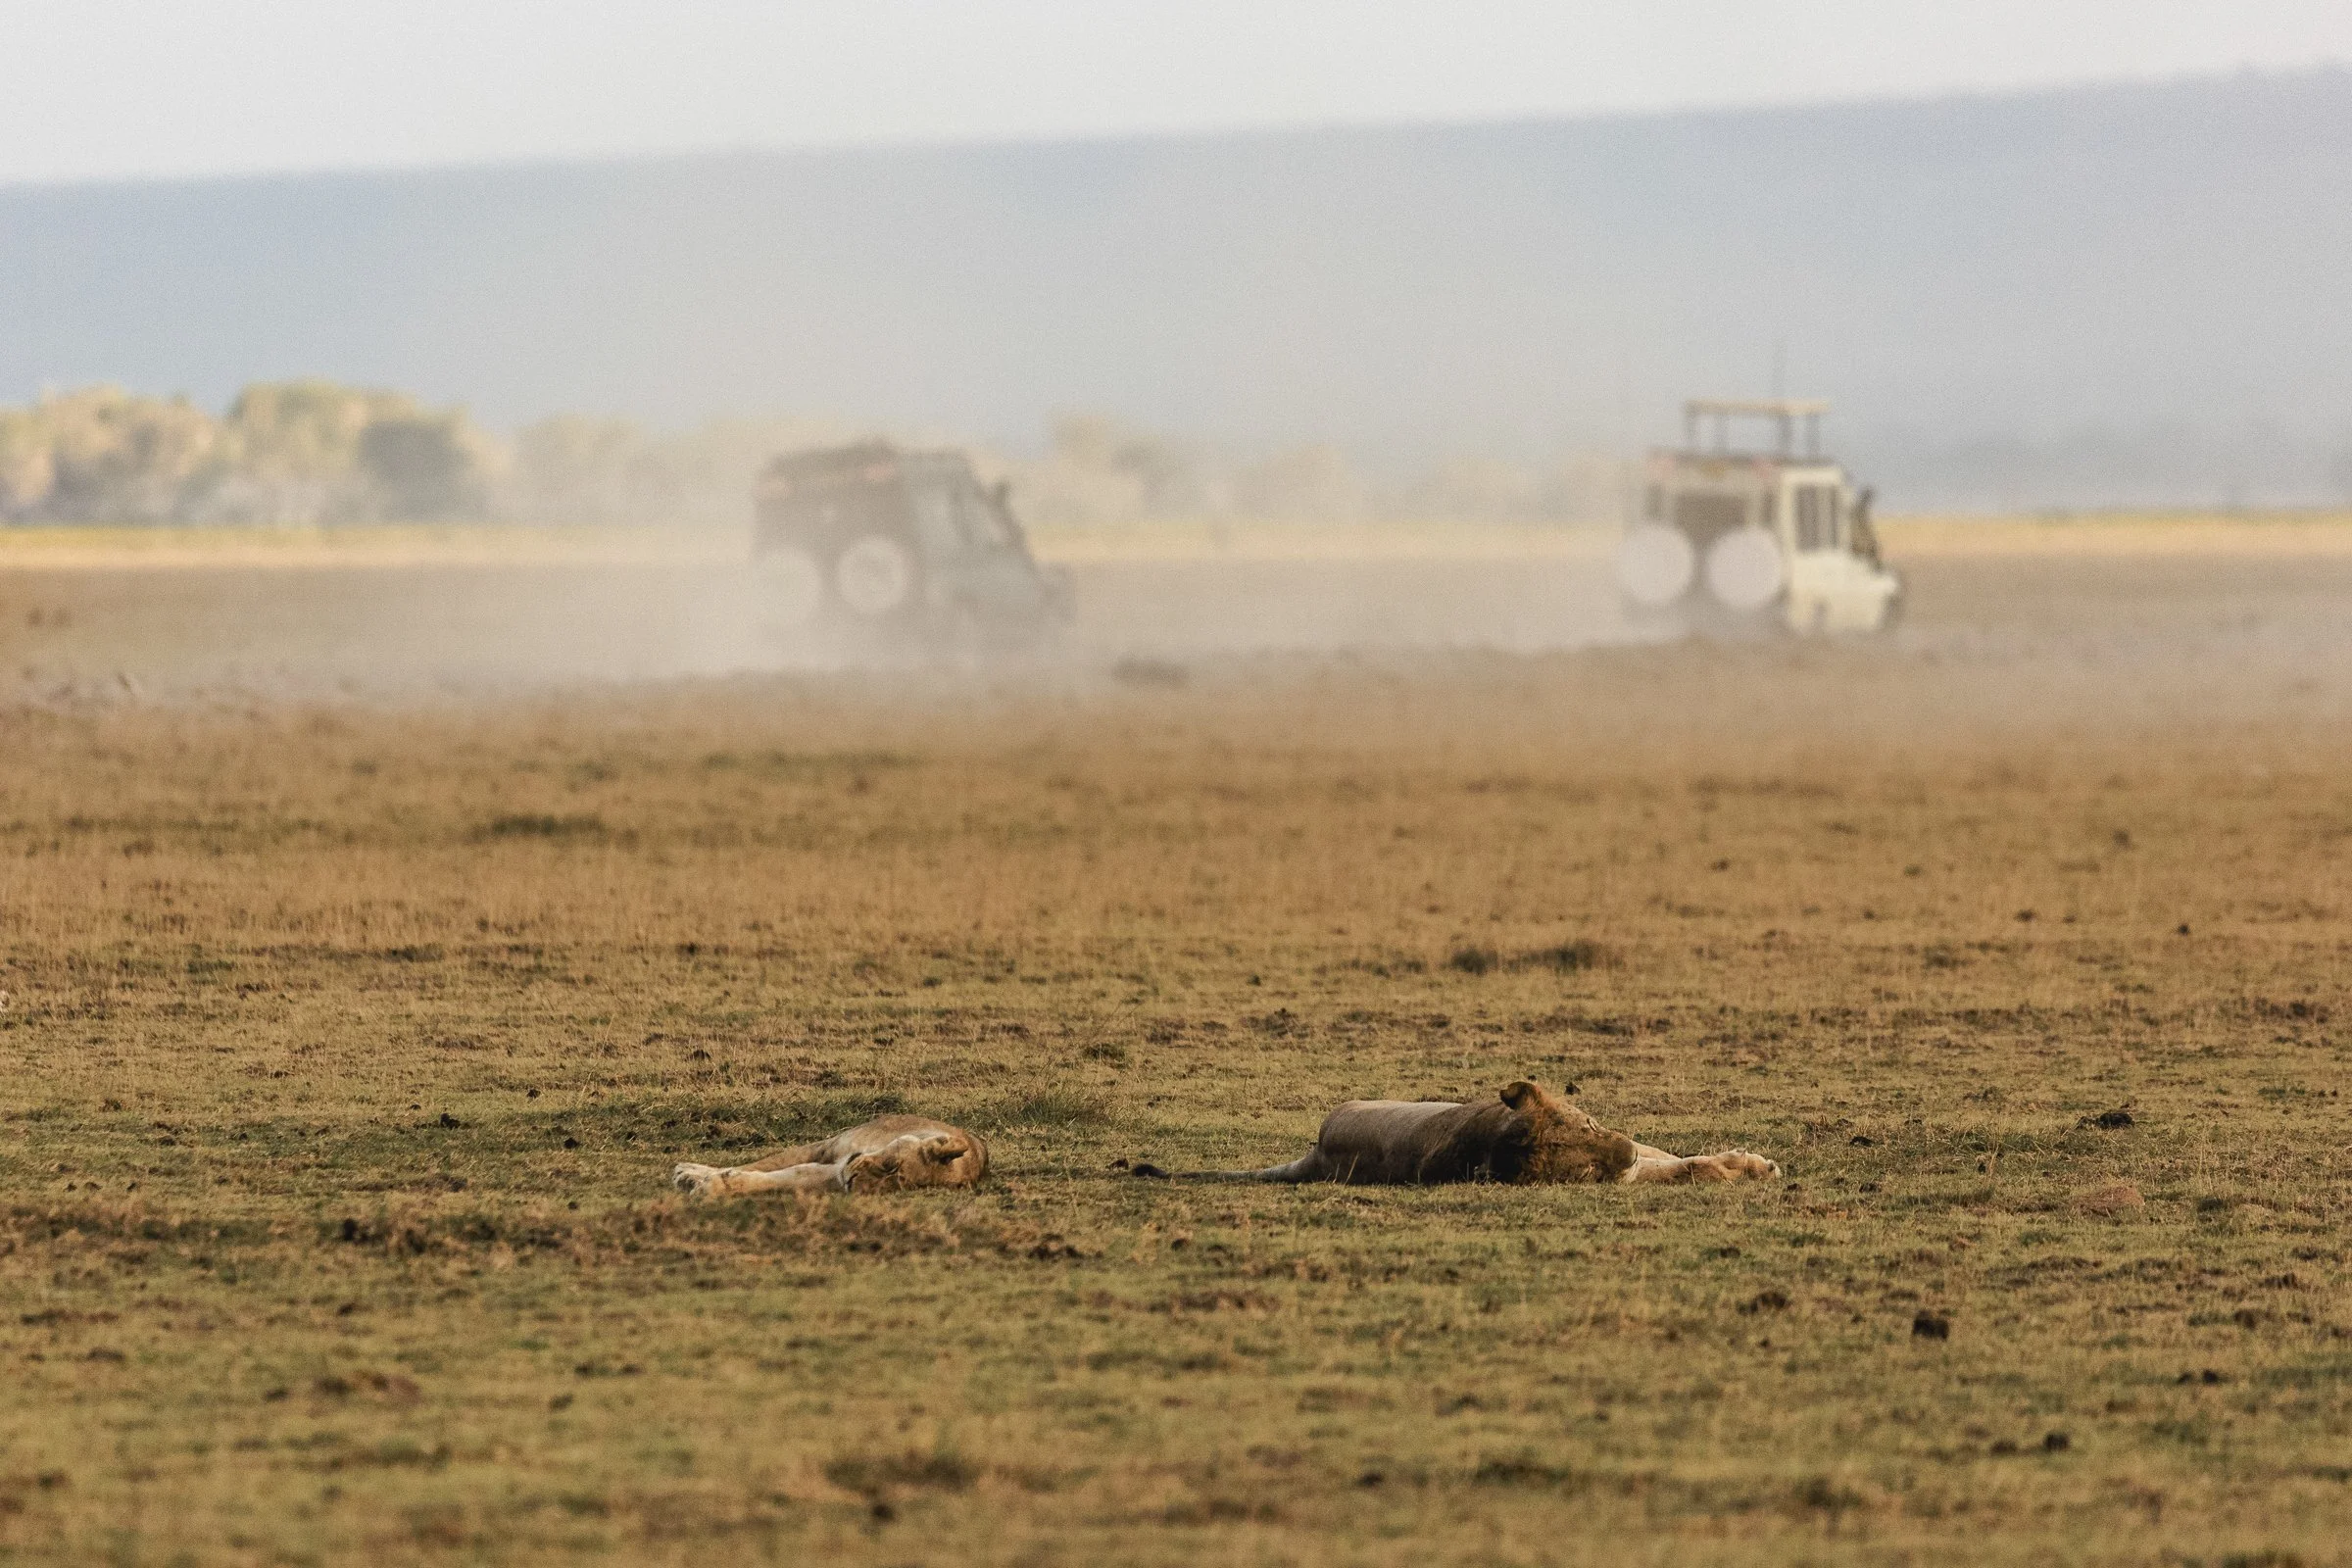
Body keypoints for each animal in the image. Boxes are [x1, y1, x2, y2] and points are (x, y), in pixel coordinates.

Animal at [673, 1114, 989, 1197]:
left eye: (885, 1190)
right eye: (890, 1165)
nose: (852, 1181)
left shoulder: (829, 1175)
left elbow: (782, 1177)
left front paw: (711, 1184)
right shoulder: (829, 1146)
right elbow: (767, 1163)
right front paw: (688, 1173)